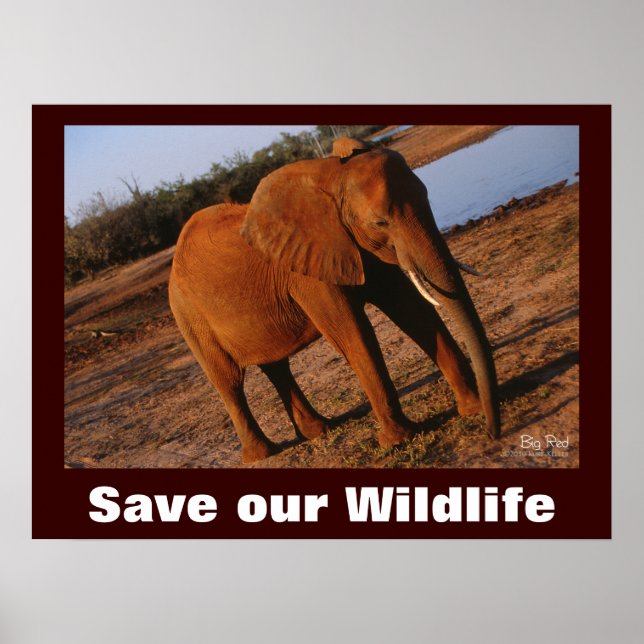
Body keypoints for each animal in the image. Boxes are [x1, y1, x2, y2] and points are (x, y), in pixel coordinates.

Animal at [169, 145, 500, 463]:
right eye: (380, 222)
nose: (492, 432)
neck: (333, 177)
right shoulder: (306, 270)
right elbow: (352, 334)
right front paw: (397, 440)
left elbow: (411, 309)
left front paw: (470, 408)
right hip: (189, 318)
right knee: (229, 382)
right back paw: (262, 454)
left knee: (277, 367)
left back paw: (320, 430)